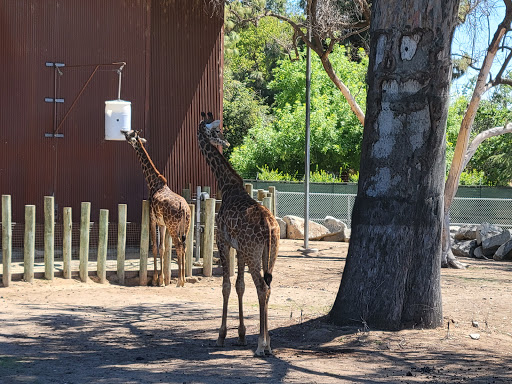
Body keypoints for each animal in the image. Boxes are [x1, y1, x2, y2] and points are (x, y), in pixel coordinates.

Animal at [123, 130, 191, 286]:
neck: (153, 183)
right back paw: (183, 279)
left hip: (173, 226)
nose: (123, 132)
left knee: (179, 246)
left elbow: (154, 247)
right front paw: (162, 280)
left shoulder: (152, 219)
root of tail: (185, 209)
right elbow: (162, 248)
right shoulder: (162, 223)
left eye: (130, 135)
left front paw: (155, 279)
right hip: (185, 227)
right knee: (184, 246)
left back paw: (180, 281)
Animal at [197, 112, 280, 356]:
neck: (226, 185)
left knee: (262, 287)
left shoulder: (223, 241)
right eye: (216, 131)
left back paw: (261, 345)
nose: (224, 142)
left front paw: (221, 336)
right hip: (269, 254)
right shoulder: (240, 249)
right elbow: (240, 286)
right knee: (268, 287)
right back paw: (267, 343)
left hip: (254, 254)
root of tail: (270, 228)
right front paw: (242, 335)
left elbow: (226, 286)